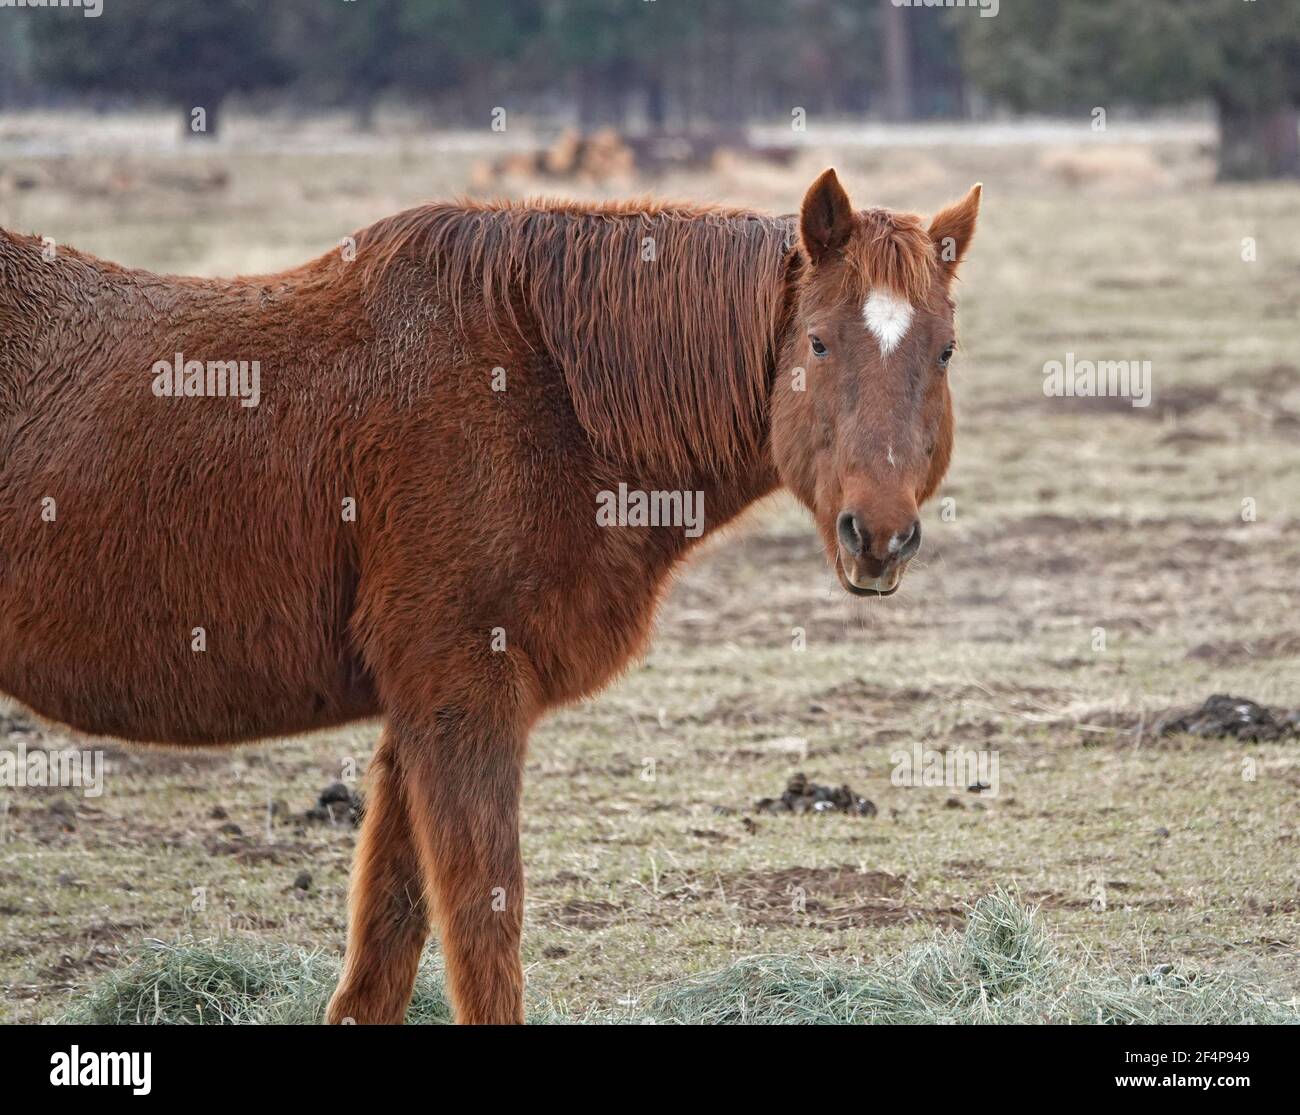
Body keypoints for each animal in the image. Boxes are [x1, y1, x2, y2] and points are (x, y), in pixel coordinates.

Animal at [0, 168, 977, 1018]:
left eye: (944, 351)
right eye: (817, 342)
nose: (878, 535)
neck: (547, 388)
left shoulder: (418, 714)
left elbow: (387, 945)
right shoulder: (462, 695)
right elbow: (483, 927)